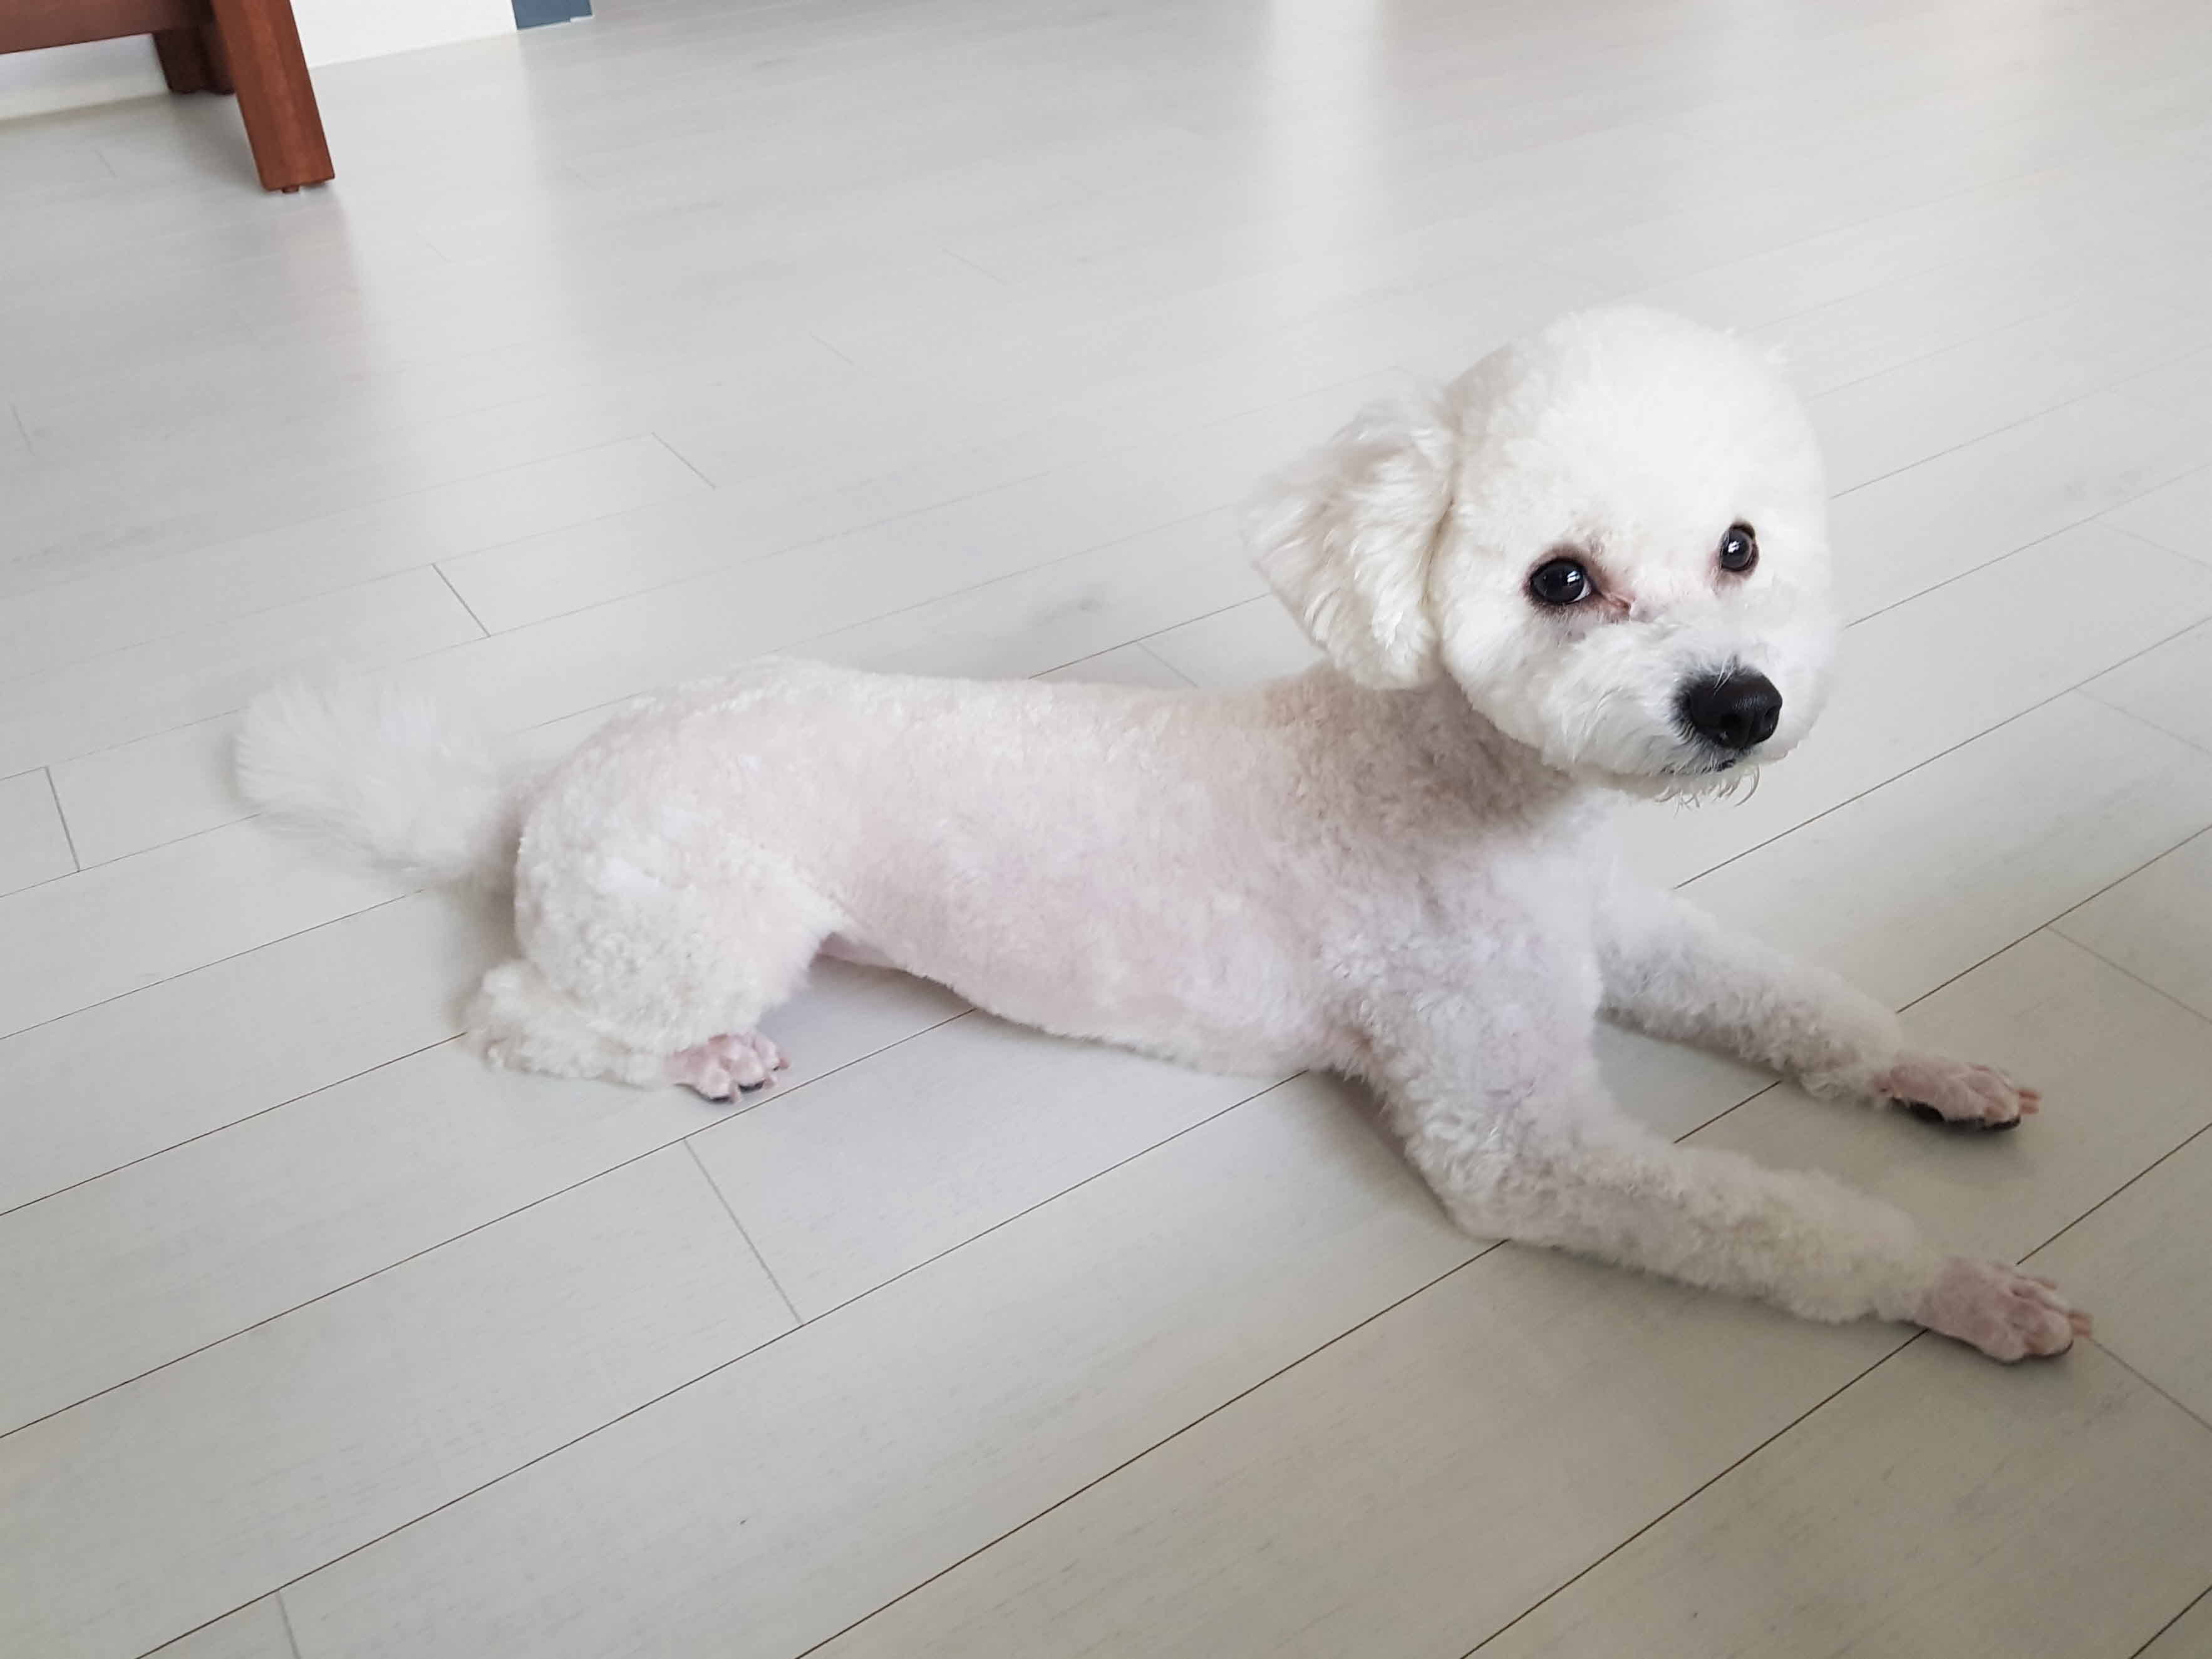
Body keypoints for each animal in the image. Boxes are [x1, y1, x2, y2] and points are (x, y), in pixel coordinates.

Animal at [237, 305, 2087, 1363]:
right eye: (1558, 580)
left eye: (1739, 546)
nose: (1736, 706)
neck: (1460, 785)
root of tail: (549, 788)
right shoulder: (1516, 1139)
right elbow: (1781, 1226)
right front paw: (1962, 1289)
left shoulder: (1612, 930)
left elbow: (1791, 998)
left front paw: (1933, 1073)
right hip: (713, 928)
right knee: (516, 1015)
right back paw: (702, 1060)